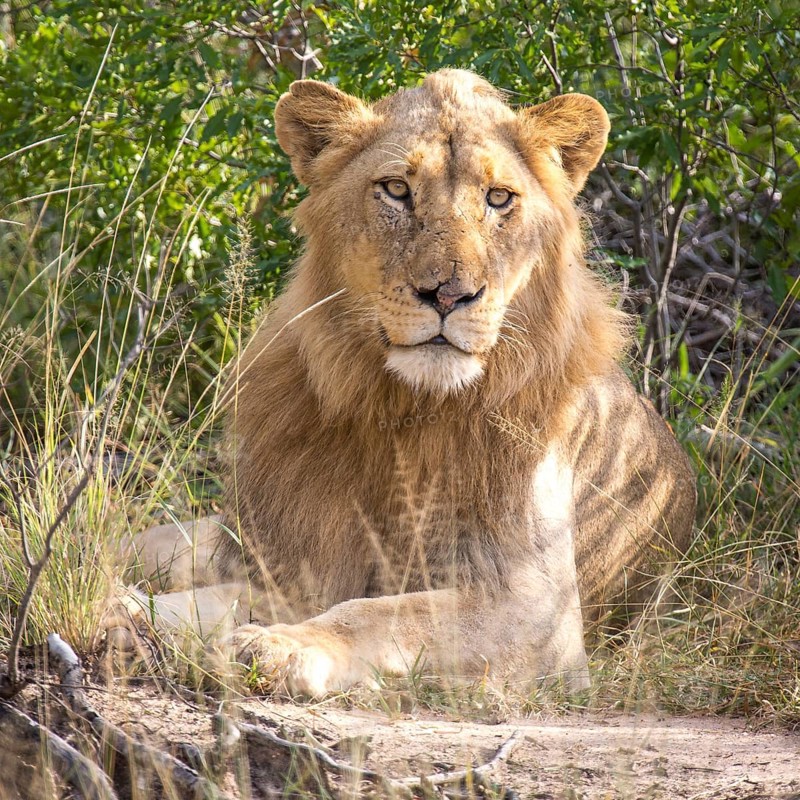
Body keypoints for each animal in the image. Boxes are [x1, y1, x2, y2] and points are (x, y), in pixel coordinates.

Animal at [111, 69, 696, 697]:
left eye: (499, 198)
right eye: (395, 189)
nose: (448, 295)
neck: (404, 409)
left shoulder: (542, 612)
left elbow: (387, 612)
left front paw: (281, 647)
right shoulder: (294, 562)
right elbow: (209, 601)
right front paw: (121, 612)